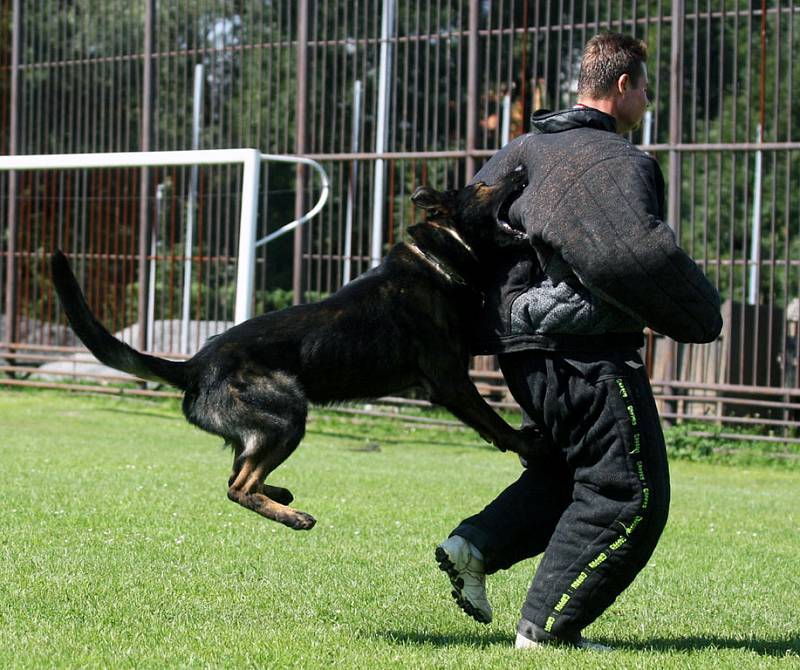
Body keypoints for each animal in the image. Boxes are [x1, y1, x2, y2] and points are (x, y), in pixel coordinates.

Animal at [48, 171, 536, 532]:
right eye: (484, 186)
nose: (519, 169)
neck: (438, 256)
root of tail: (195, 366)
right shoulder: (450, 381)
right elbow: (493, 421)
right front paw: (525, 443)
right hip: (286, 416)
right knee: (239, 486)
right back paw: (293, 515)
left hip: (264, 429)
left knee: (236, 474)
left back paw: (280, 495)